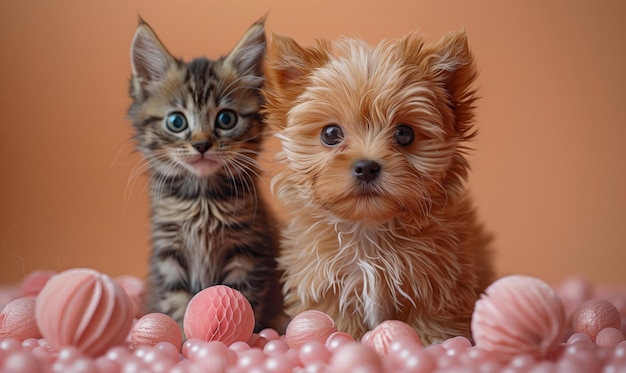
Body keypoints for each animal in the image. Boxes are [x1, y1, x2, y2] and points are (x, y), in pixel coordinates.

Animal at [128, 16, 284, 332]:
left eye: (226, 119)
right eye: (176, 122)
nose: (201, 145)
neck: (201, 198)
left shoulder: (248, 251)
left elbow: (241, 299)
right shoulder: (169, 252)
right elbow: (178, 302)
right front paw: (180, 337)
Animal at [262, 29, 492, 342]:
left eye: (405, 134)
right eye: (330, 134)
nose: (367, 167)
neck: (369, 227)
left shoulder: (439, 284)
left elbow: (433, 327)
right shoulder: (325, 284)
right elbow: (337, 323)